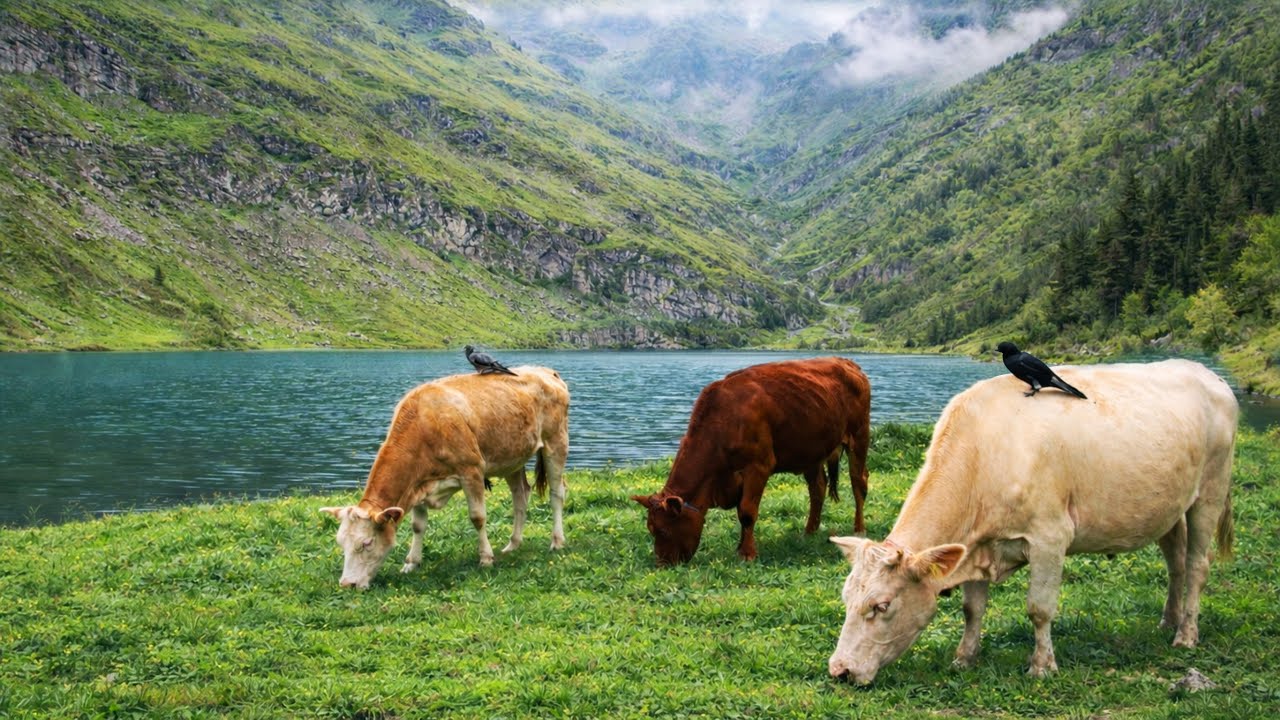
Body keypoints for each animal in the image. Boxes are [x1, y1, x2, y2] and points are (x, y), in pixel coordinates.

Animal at [320, 366, 570, 589]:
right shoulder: (418, 484)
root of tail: (545, 371)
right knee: (520, 496)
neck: (424, 424)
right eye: (341, 543)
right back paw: (513, 545)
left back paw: (557, 541)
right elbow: (418, 526)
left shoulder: (471, 471)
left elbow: (478, 518)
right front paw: (411, 563)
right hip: (512, 457)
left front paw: (486, 558)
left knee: (557, 493)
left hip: (555, 442)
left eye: (367, 543)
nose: (347, 584)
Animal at [632, 357, 872, 565]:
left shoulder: (759, 466)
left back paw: (859, 528)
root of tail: (847, 362)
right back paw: (809, 531)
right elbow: (741, 512)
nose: (663, 565)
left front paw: (748, 554)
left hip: (859, 437)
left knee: (858, 482)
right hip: (812, 450)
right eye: (650, 529)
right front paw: (740, 548)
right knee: (818, 488)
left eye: (663, 530)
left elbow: (747, 512)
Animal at [828, 359, 1237, 684]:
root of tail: (1206, 372)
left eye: (882, 606)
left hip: (1210, 491)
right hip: (1169, 507)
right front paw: (964, 658)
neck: (986, 454)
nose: (840, 671)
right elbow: (972, 609)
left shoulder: (1049, 537)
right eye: (846, 597)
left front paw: (1042, 666)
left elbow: (1039, 609)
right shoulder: (977, 543)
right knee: (1176, 563)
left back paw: (1186, 635)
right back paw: (1169, 621)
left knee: (1197, 565)